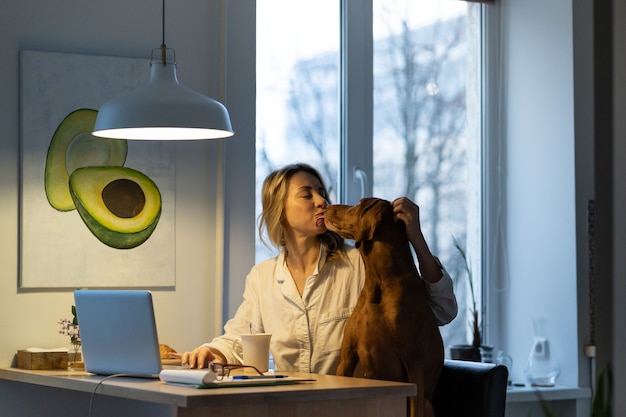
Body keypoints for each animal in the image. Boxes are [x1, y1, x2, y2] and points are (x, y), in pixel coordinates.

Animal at [322, 198, 444, 416]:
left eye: (357, 205)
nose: (327, 206)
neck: (379, 282)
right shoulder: (346, 359)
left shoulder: (414, 364)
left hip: (427, 403)